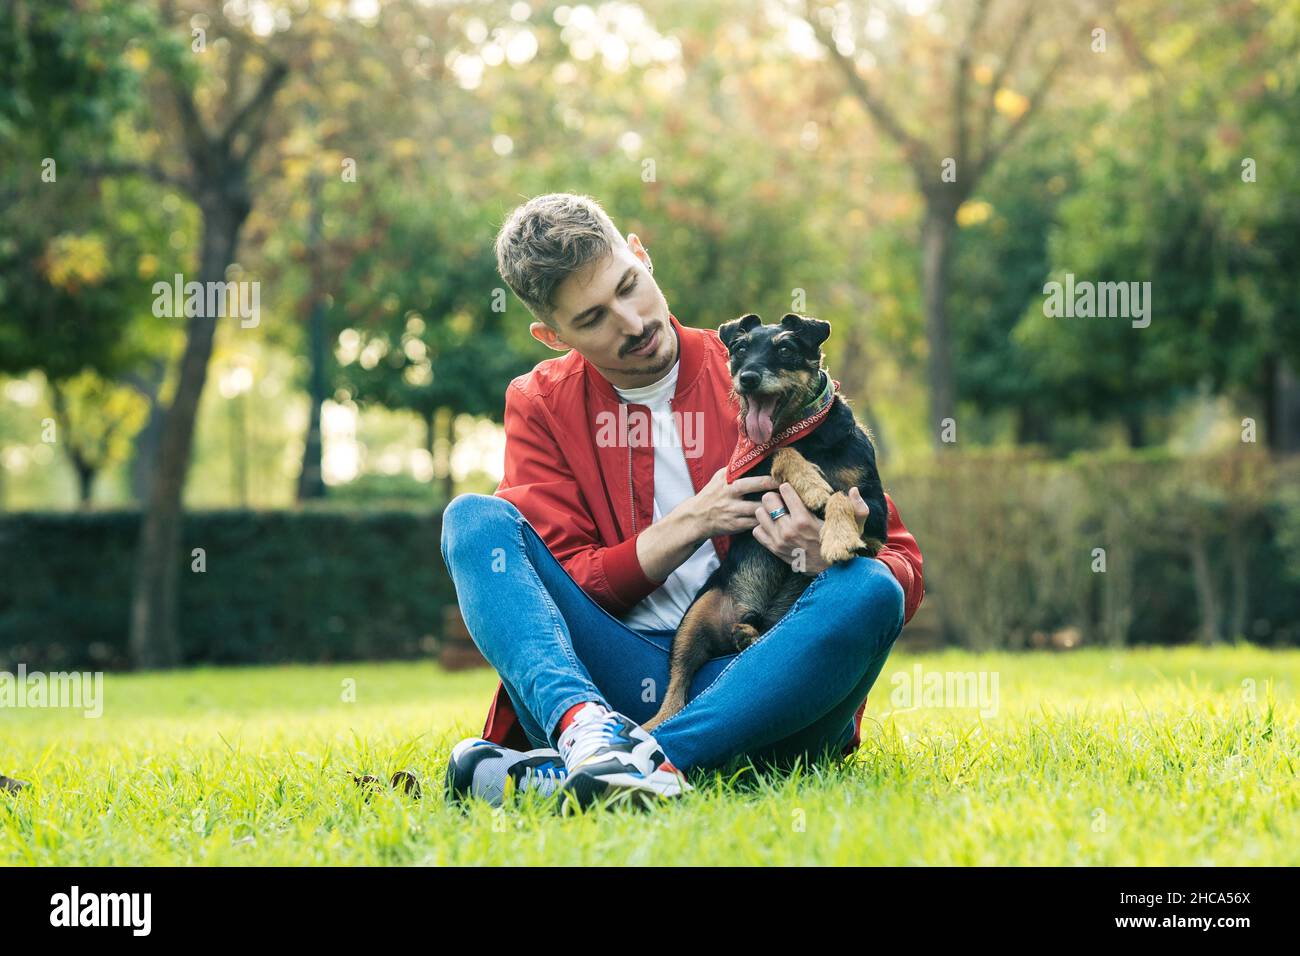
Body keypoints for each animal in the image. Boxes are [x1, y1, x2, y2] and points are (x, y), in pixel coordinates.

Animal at [642, 314, 889, 733]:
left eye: (786, 349)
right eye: (740, 349)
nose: (748, 378)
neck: (809, 435)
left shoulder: (876, 518)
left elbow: (842, 496)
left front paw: (837, 538)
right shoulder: (741, 486)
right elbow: (779, 452)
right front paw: (809, 482)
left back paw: (747, 635)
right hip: (695, 618)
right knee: (677, 685)